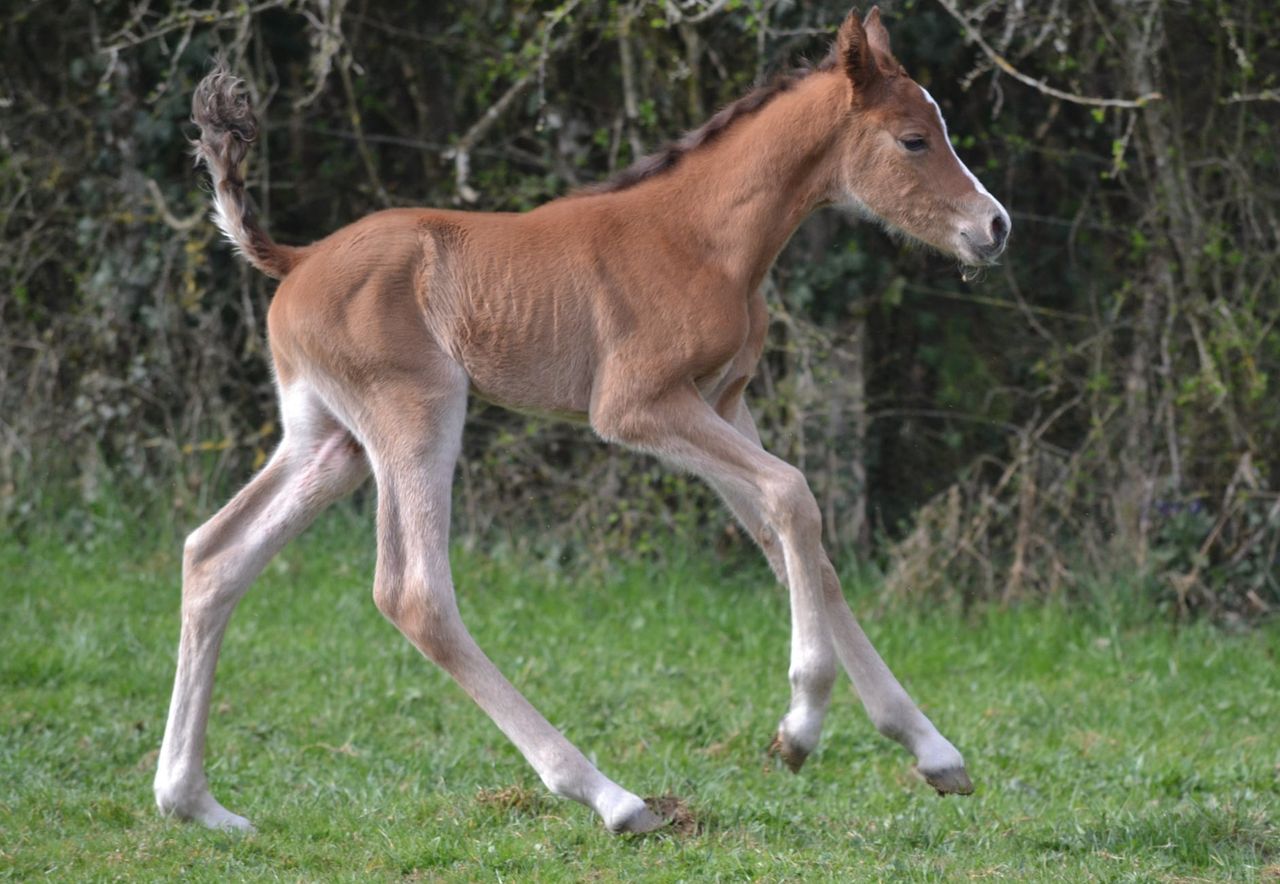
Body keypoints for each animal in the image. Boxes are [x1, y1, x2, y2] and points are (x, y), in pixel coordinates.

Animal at [154, 8, 1008, 839]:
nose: (994, 227)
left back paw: (194, 803)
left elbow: (794, 542)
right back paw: (613, 799)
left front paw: (933, 752)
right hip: (416, 412)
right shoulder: (637, 406)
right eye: (913, 139)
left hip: (329, 443)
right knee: (413, 593)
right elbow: (794, 496)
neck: (703, 238)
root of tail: (296, 260)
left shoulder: (724, 401)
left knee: (214, 554)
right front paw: (799, 728)